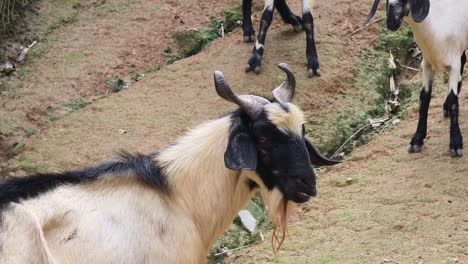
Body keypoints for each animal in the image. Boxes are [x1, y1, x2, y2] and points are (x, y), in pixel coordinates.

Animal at [366, 0, 468, 157]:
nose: (391, 21)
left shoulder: (453, 65)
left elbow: (453, 101)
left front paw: (456, 142)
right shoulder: (426, 64)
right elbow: (424, 98)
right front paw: (417, 139)